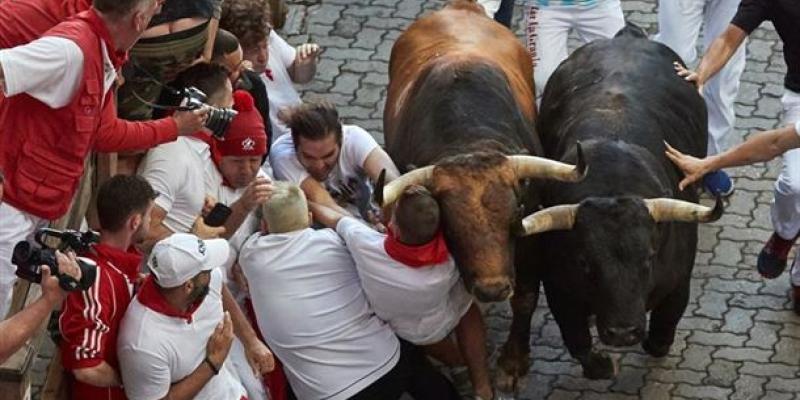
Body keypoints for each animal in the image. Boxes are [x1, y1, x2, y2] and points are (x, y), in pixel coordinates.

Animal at [378, 0, 584, 300]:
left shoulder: (529, 256)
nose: (493, 289)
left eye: (514, 215)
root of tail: (462, 8)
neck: (470, 137)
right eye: (450, 227)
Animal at [494, 24, 724, 388]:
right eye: (585, 263)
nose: (622, 332)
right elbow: (577, 341)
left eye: (648, 259)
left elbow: (661, 334)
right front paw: (603, 364)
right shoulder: (560, 289)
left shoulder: (678, 284)